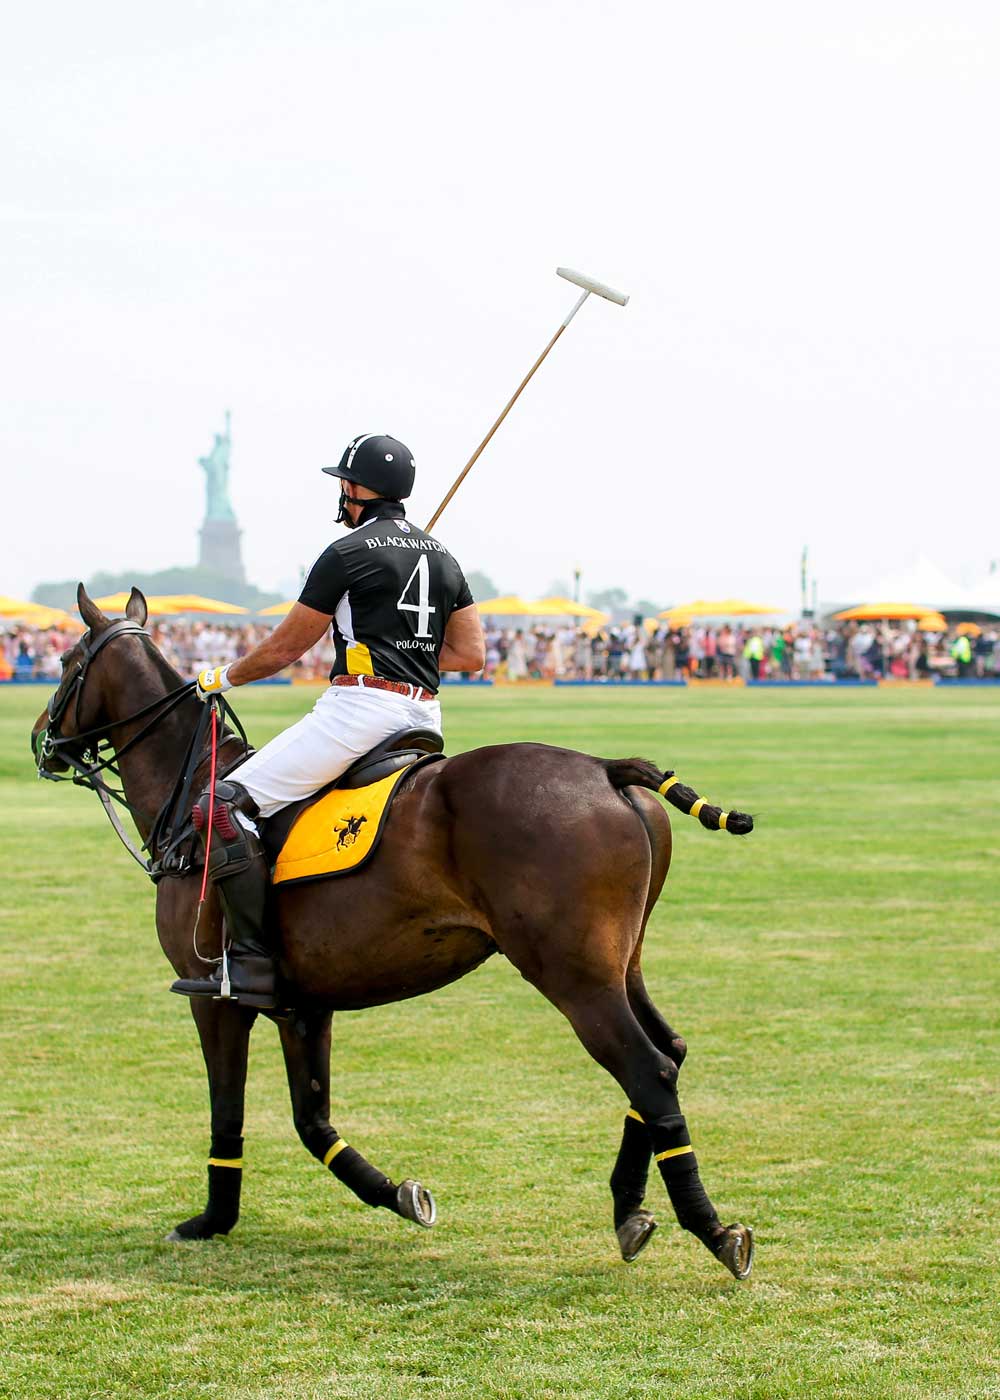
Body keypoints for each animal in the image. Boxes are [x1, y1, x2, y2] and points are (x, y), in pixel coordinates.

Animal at [31, 585, 750, 1276]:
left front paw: (212, 1221)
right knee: (670, 1051)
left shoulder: (214, 996)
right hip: (620, 963)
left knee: (648, 1069)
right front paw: (401, 1195)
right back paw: (629, 1210)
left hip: (572, 975)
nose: (41, 742)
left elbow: (228, 1111)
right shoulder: (302, 1005)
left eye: (66, 662)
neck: (187, 794)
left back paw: (712, 1230)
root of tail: (606, 767)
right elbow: (312, 1120)